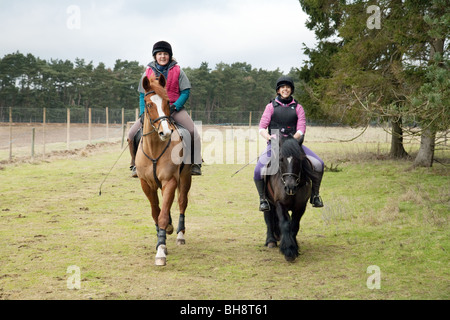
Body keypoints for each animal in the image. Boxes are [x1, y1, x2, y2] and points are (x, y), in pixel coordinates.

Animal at [134, 74, 190, 264]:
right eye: (149, 104)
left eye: (167, 102)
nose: (165, 132)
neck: (154, 149)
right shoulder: (146, 184)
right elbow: (156, 213)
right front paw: (161, 241)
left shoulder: (170, 181)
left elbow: (163, 215)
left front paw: (161, 251)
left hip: (185, 177)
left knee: (182, 202)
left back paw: (180, 234)